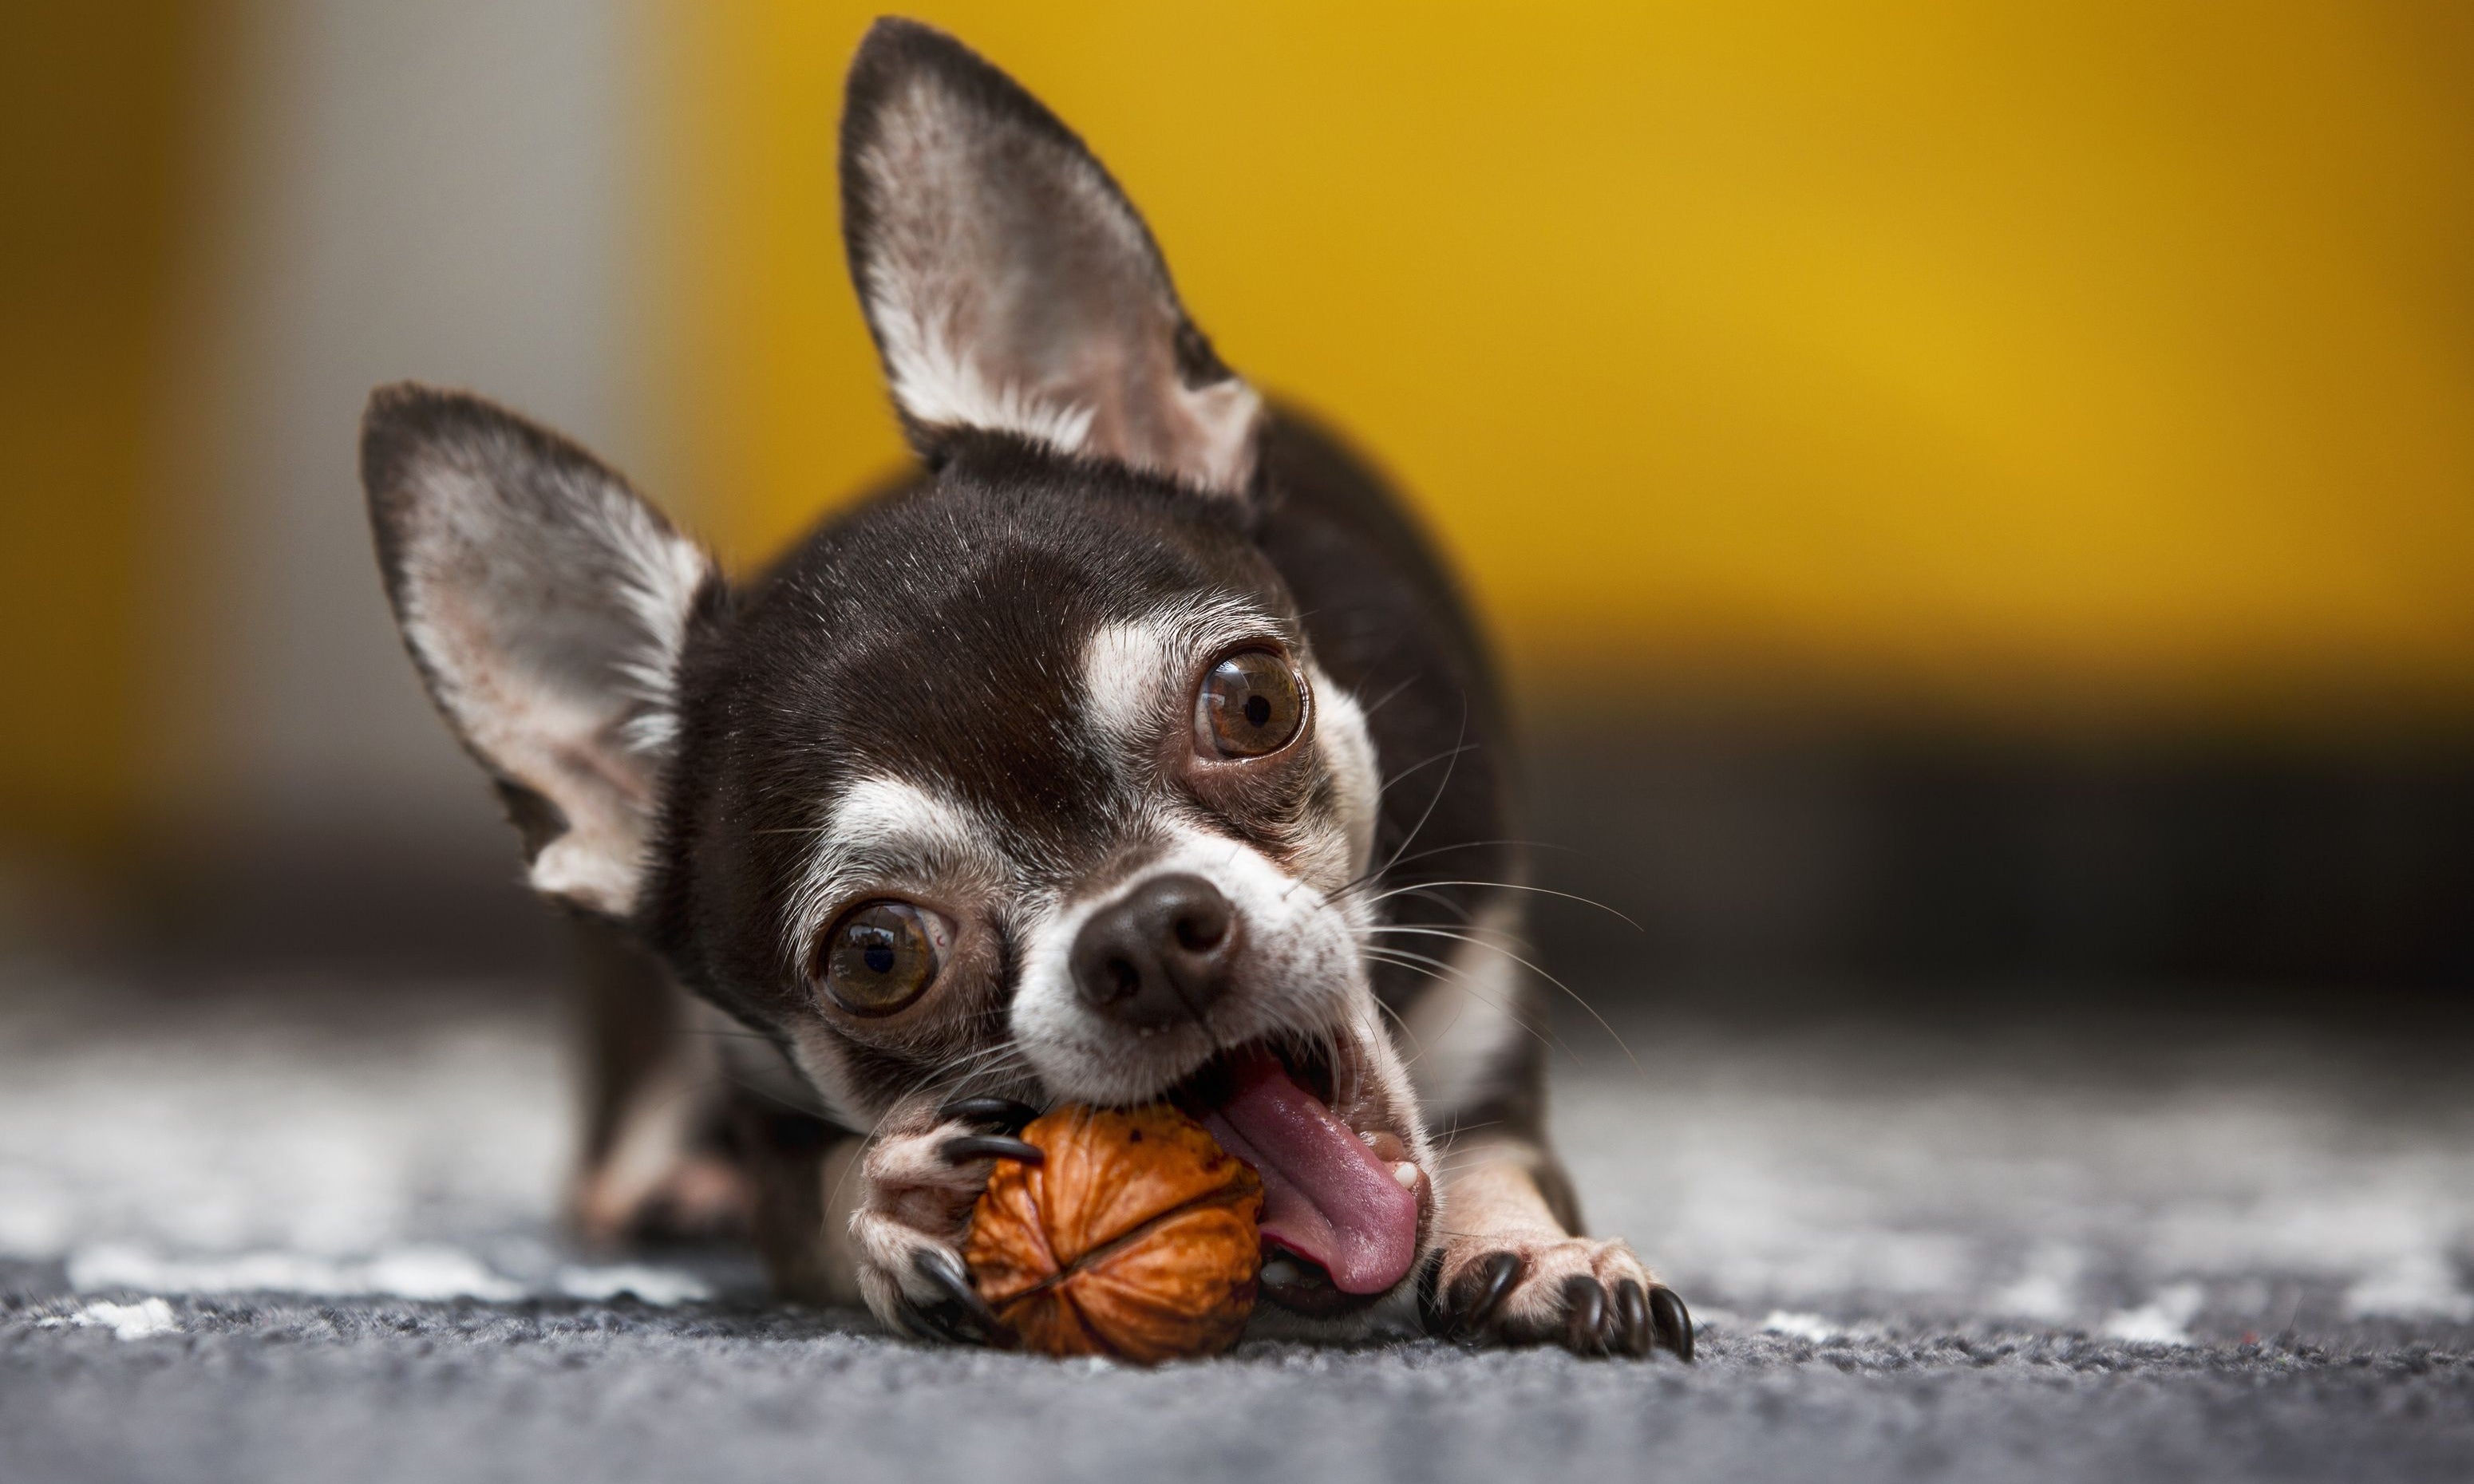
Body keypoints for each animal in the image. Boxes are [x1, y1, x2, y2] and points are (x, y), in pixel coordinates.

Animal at [361, 14, 1682, 1355]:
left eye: (1253, 703)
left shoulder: (1486, 1007)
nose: (1148, 936)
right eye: (879, 956)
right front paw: (890, 1205)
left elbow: (1496, 1148)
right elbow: (813, 1182)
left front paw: (1533, 1246)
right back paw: (678, 1187)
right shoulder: (769, 1121)